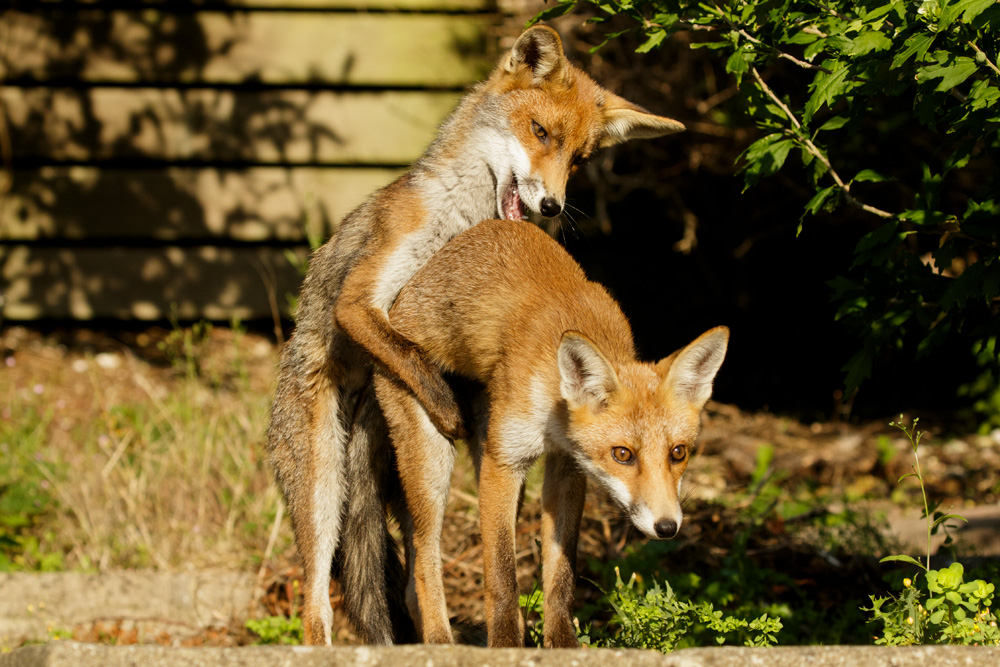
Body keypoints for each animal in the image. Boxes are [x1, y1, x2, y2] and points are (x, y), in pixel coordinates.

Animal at [266, 24, 685, 646]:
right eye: (540, 131)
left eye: (579, 158)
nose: (552, 205)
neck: (463, 218)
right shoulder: (362, 300)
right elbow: (408, 354)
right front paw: (444, 406)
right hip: (324, 488)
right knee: (321, 602)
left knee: (414, 570)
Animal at [373, 218, 729, 648]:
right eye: (623, 454)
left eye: (678, 453)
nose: (667, 527)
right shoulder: (504, 462)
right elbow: (502, 578)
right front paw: (506, 646)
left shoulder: (568, 469)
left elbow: (560, 574)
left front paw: (561, 645)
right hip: (435, 462)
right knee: (423, 568)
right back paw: (440, 641)